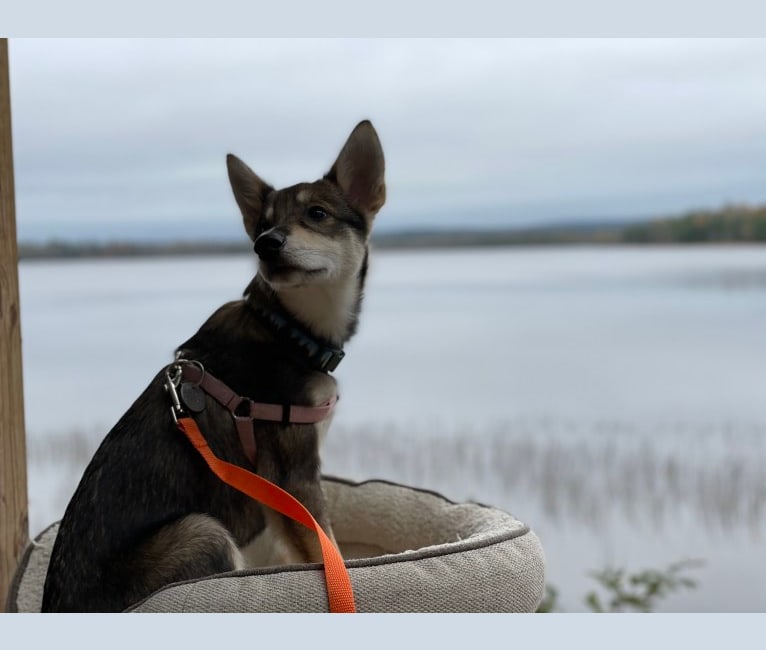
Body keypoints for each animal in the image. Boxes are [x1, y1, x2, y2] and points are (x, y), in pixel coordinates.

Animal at [42, 119, 388, 612]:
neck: (286, 329)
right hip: (203, 531)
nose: (266, 244)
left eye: (318, 213)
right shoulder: (294, 476)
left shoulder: (276, 500)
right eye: (262, 225)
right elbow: (329, 553)